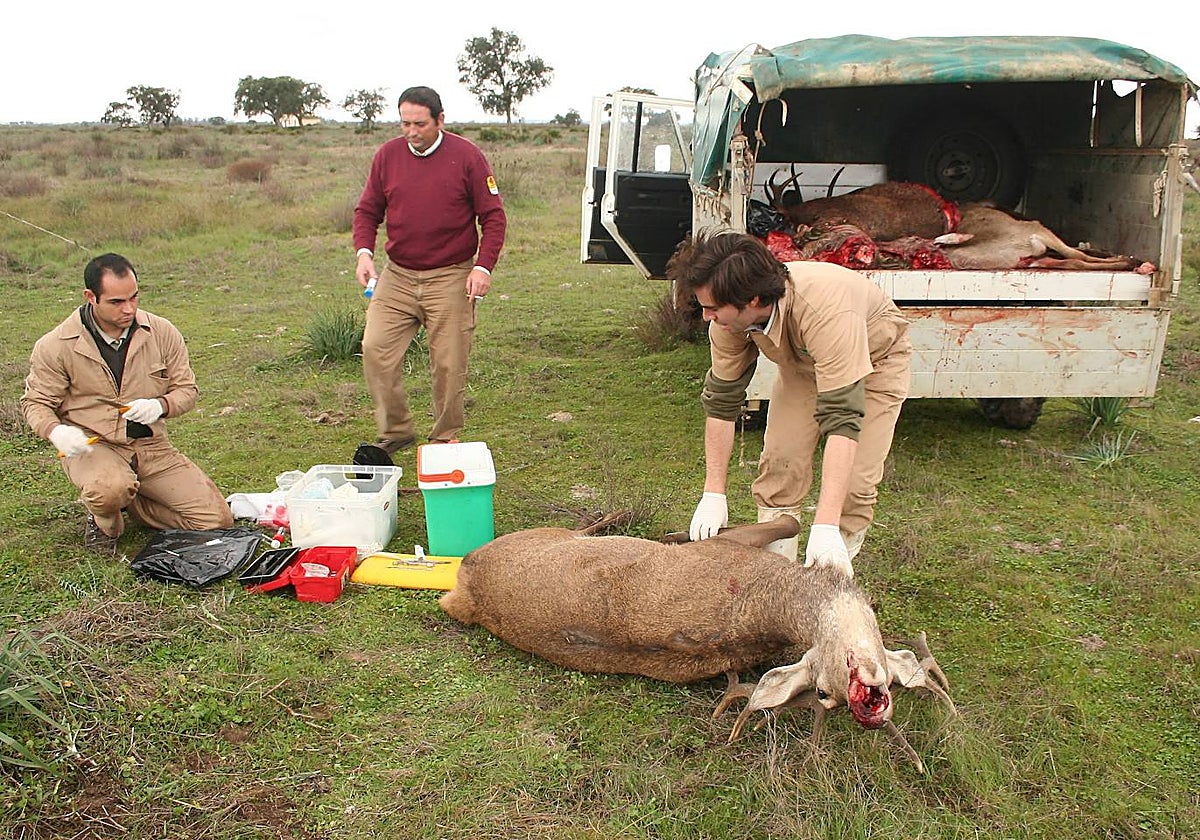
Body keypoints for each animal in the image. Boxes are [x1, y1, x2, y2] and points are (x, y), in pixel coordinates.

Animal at [439, 517, 956, 771]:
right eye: (824, 692)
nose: (870, 707)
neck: (768, 597)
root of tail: (465, 579)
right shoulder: (729, 548)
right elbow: (788, 521)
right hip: (539, 535)